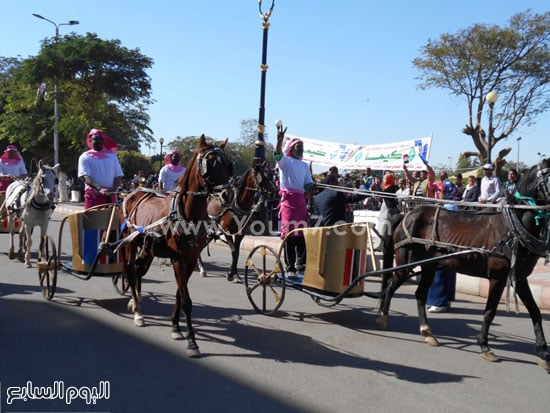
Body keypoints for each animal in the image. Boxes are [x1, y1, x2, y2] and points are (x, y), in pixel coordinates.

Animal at [121, 134, 233, 354]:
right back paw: (137, 311)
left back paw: (134, 301)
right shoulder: (178, 260)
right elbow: (187, 301)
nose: (227, 194)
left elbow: (180, 295)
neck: (186, 215)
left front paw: (175, 327)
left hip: (147, 249)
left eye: (227, 164)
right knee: (130, 271)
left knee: (138, 271)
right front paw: (192, 341)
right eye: (209, 162)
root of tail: (134, 192)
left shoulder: (190, 260)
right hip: (131, 243)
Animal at [380, 159, 550, 370]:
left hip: (429, 266)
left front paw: (543, 353)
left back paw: (427, 332)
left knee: (419, 294)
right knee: (390, 285)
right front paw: (485, 346)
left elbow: (535, 311)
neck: (512, 229)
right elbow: (489, 312)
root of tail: (407, 215)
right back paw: (382, 318)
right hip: (405, 263)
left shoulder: (519, 276)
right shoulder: (497, 277)